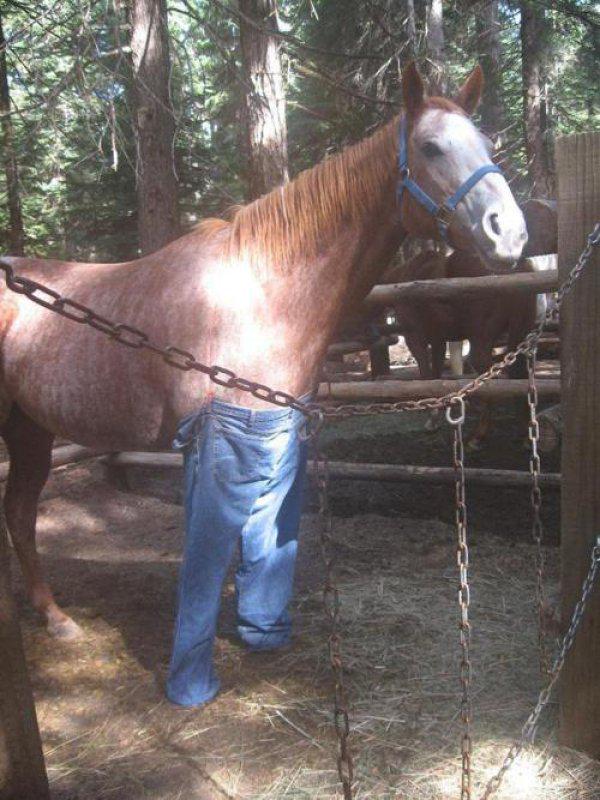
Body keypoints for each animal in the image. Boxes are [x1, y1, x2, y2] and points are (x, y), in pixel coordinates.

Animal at [0, 62, 527, 640]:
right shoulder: (208, 446)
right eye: (431, 147)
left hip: (30, 430)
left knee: (19, 513)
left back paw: (54, 616)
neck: (258, 296)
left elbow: (260, 541)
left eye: (488, 145)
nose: (510, 233)